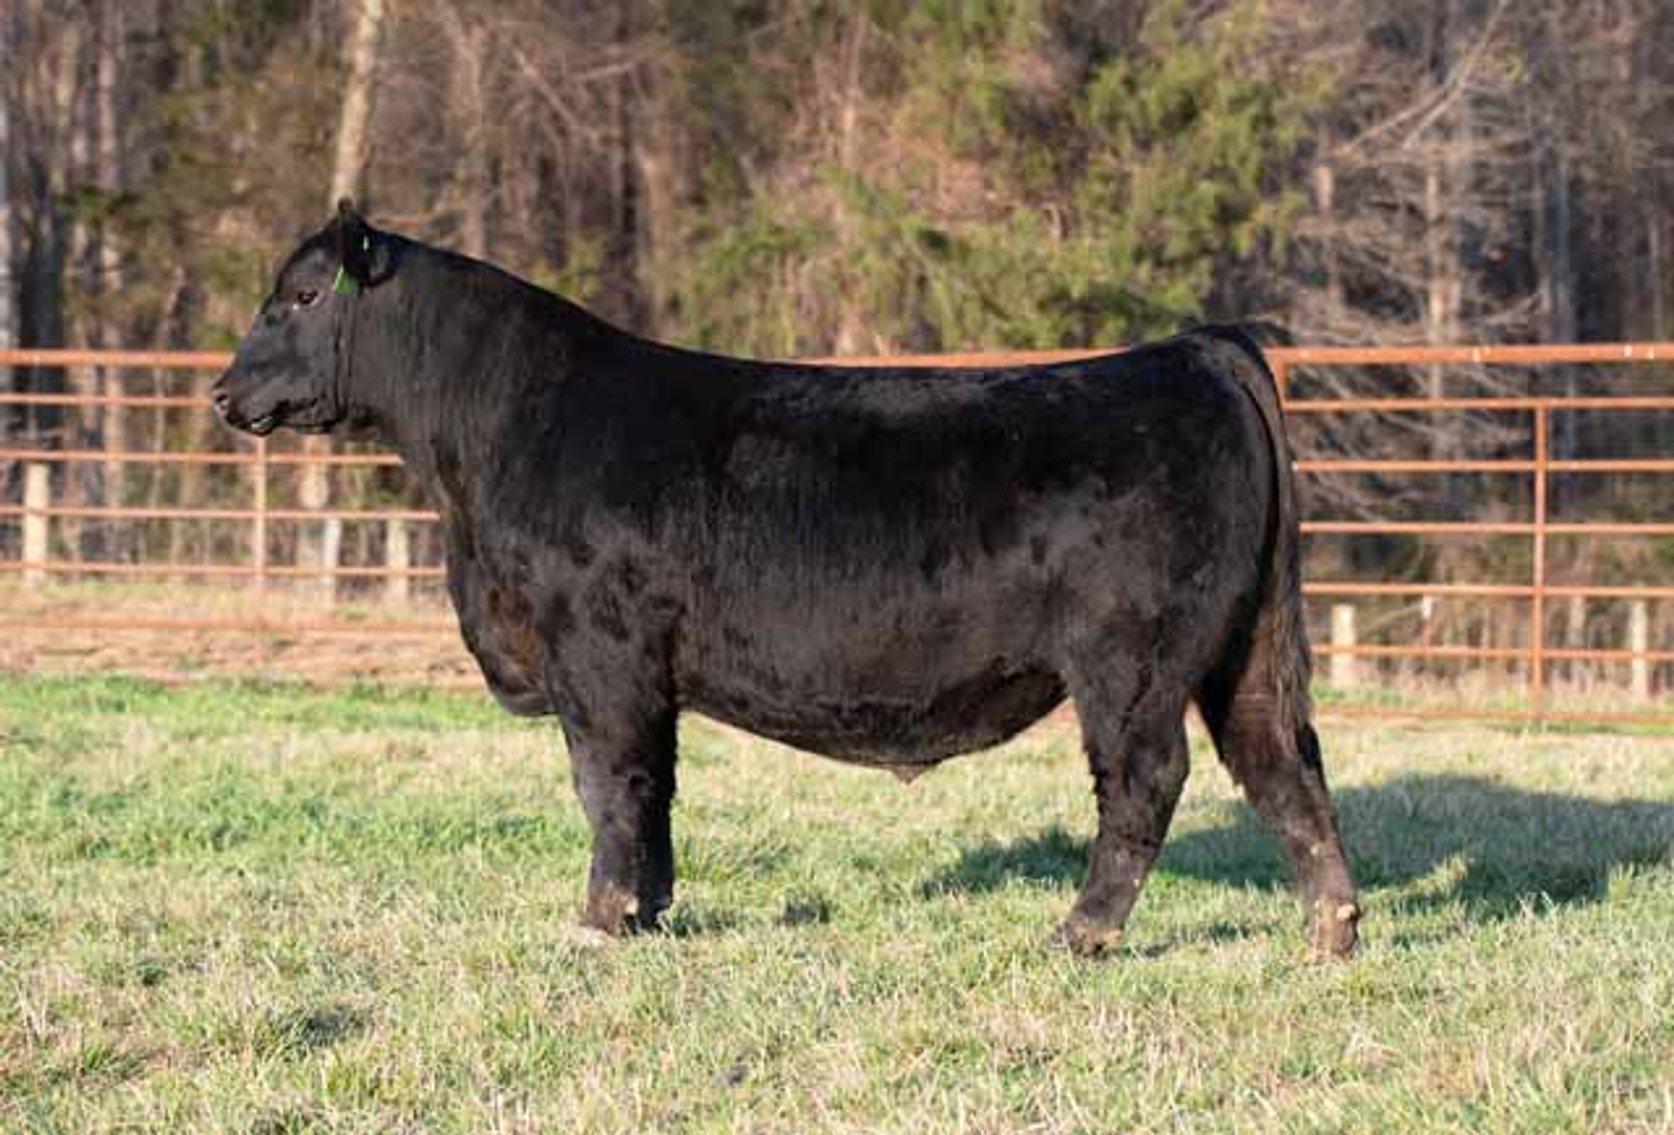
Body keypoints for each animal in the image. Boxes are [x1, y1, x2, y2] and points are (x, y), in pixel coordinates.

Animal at [213, 201, 1360, 958]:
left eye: (300, 295)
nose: (224, 392)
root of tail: (1192, 350)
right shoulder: (644, 670)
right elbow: (655, 789)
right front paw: (649, 914)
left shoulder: (598, 651)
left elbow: (608, 785)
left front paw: (597, 925)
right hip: (1238, 651)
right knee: (1284, 762)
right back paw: (1332, 929)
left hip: (1133, 659)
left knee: (1146, 779)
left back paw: (1080, 932)